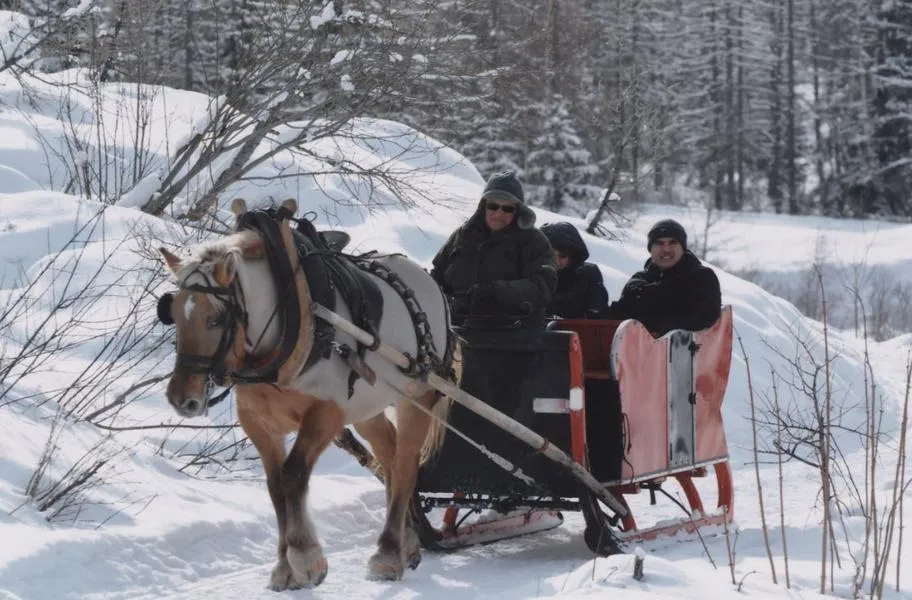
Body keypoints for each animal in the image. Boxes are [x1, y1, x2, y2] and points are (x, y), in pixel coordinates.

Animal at [156, 199, 455, 590]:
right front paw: (285, 568)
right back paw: (407, 542)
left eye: (216, 319)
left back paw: (388, 554)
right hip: (369, 406)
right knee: (389, 456)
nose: (182, 398)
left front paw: (306, 559)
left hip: (415, 396)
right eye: (173, 313)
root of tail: (429, 282)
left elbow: (293, 475)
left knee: (405, 464)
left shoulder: (327, 412)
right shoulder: (258, 422)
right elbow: (275, 487)